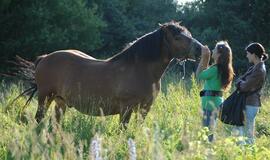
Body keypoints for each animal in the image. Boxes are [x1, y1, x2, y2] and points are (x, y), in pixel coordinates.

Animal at [13, 21, 202, 127]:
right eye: (177, 37)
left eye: (189, 34)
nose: (200, 50)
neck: (140, 70)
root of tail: (44, 58)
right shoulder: (126, 109)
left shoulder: (145, 109)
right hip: (45, 97)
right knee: (39, 119)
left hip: (60, 101)